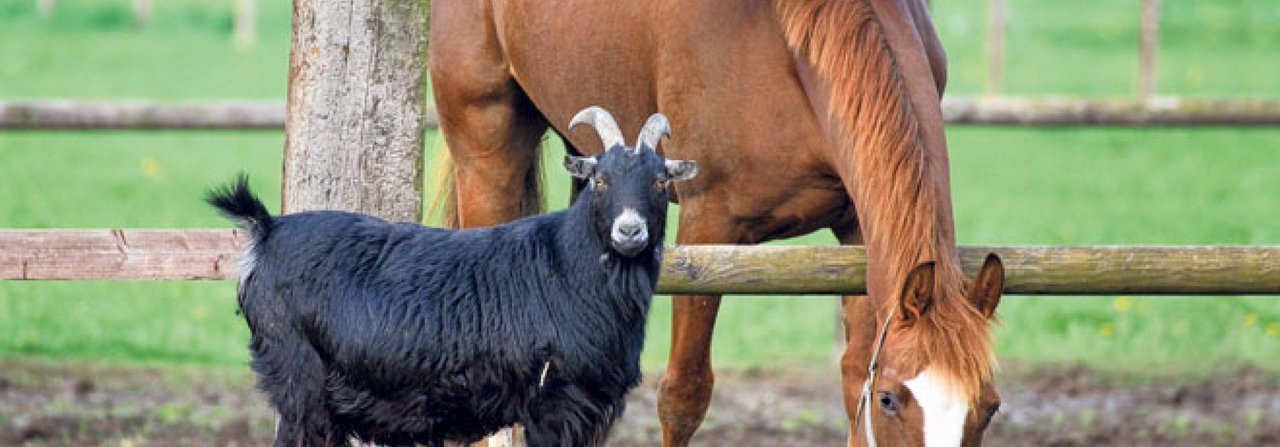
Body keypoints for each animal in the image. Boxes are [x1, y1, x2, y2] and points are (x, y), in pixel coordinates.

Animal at [207, 106, 701, 443]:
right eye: (600, 180)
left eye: (660, 180)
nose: (629, 230)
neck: (565, 266)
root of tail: (267, 229)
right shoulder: (555, 400)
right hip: (299, 377)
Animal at [432, 0, 1008, 443]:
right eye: (891, 400)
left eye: (990, 406)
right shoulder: (707, 229)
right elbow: (683, 395)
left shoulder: (857, 233)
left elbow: (852, 376)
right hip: (487, 152)